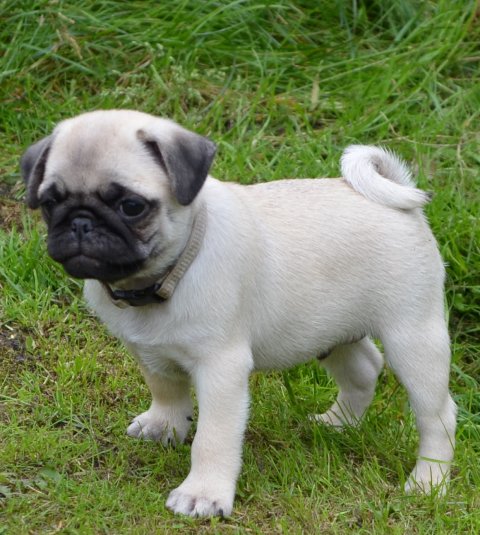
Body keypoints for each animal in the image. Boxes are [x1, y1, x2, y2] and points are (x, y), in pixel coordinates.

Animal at [21, 110, 456, 517]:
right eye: (50, 203)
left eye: (131, 206)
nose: (80, 222)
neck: (165, 276)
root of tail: (395, 195)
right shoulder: (148, 350)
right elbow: (165, 388)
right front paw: (165, 425)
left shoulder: (221, 369)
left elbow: (212, 438)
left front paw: (203, 494)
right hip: (331, 330)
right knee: (365, 368)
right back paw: (338, 423)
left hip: (413, 338)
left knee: (438, 415)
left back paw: (428, 481)